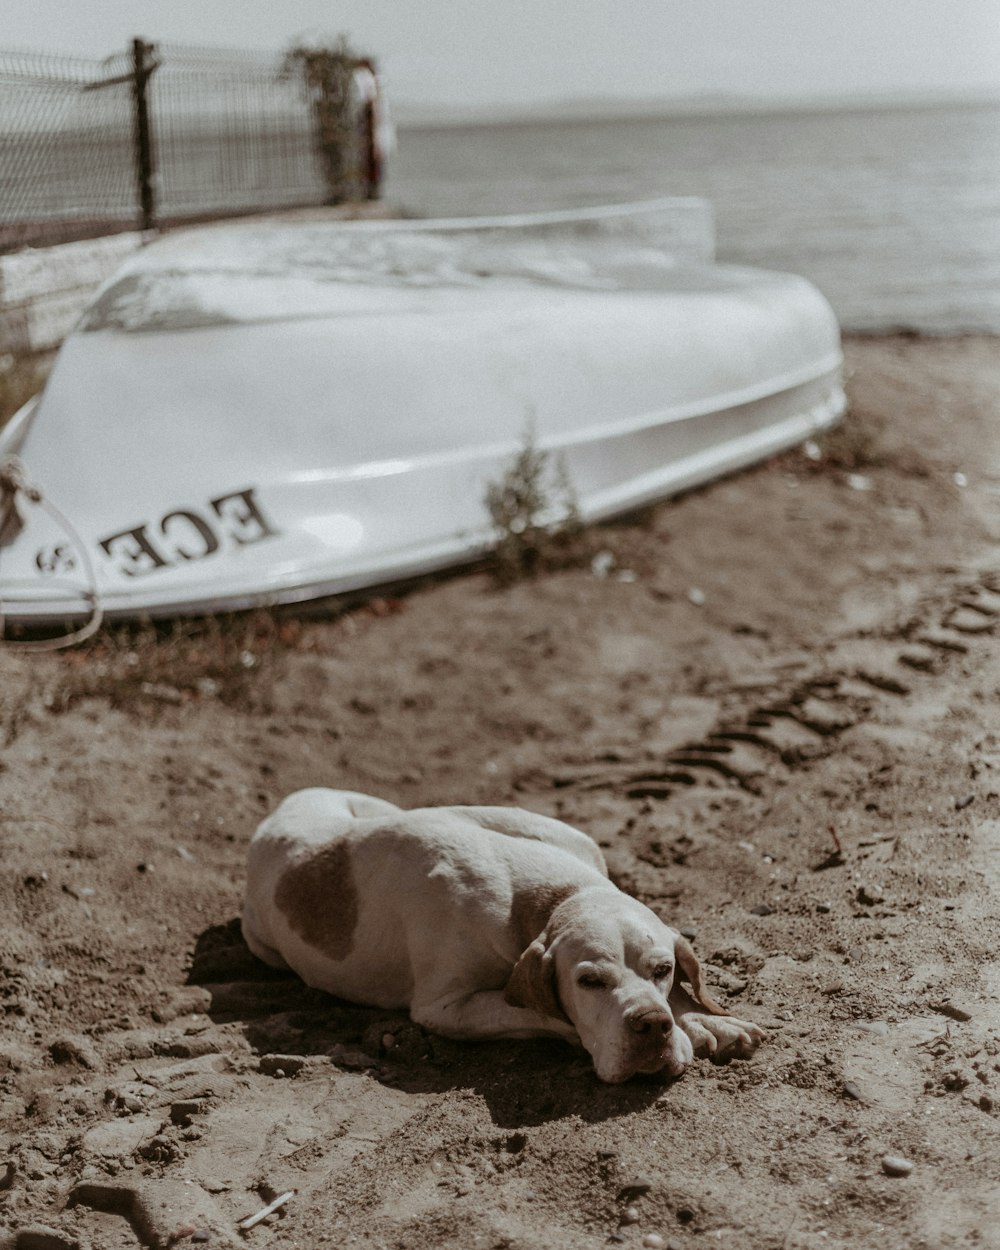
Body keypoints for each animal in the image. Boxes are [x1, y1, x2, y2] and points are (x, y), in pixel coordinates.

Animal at [243, 790, 765, 1085]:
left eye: (663, 969)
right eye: (589, 982)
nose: (652, 1027)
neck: (546, 894)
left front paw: (700, 1020)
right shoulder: (444, 1008)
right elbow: (546, 1015)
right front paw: (691, 1028)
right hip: (262, 944)